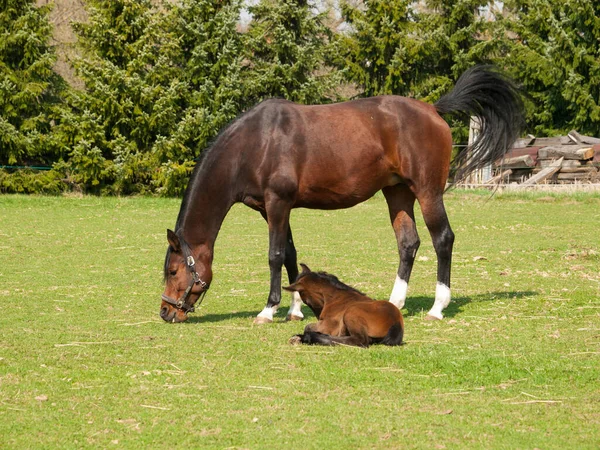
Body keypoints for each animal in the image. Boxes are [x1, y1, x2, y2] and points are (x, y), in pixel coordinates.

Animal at [162, 66, 524, 324]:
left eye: (173, 271)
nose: (166, 312)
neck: (255, 143)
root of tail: (432, 109)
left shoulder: (278, 203)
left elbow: (275, 255)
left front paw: (268, 310)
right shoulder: (273, 208)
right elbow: (290, 253)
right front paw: (295, 309)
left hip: (428, 191)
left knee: (443, 239)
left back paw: (438, 307)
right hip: (397, 193)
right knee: (408, 244)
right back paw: (394, 302)